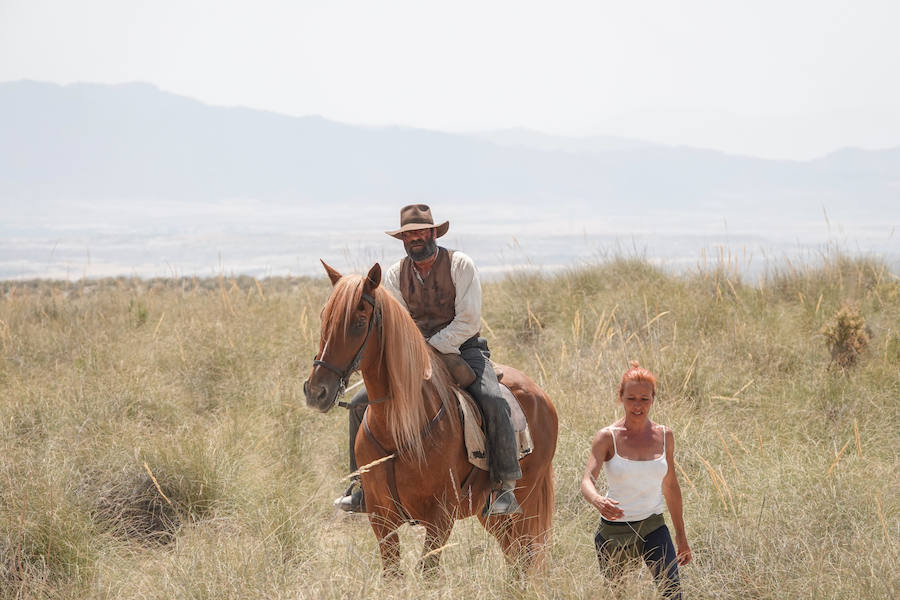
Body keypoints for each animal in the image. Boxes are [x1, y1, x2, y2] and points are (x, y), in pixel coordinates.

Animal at [302, 262, 556, 576]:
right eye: (324, 316)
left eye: (359, 321)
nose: (316, 391)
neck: (400, 426)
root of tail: (542, 396)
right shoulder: (380, 518)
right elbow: (392, 574)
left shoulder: (440, 517)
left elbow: (428, 572)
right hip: (492, 515)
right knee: (515, 556)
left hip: (526, 501)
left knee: (525, 555)